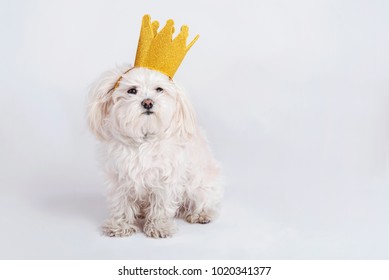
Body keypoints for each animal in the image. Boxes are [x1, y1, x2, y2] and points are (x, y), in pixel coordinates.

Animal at [87, 66, 221, 237]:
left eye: (159, 89)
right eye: (132, 90)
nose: (148, 102)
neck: (144, 140)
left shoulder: (166, 179)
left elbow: (161, 206)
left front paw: (159, 226)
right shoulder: (119, 177)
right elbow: (121, 203)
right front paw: (121, 225)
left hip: (200, 187)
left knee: (204, 201)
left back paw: (200, 214)